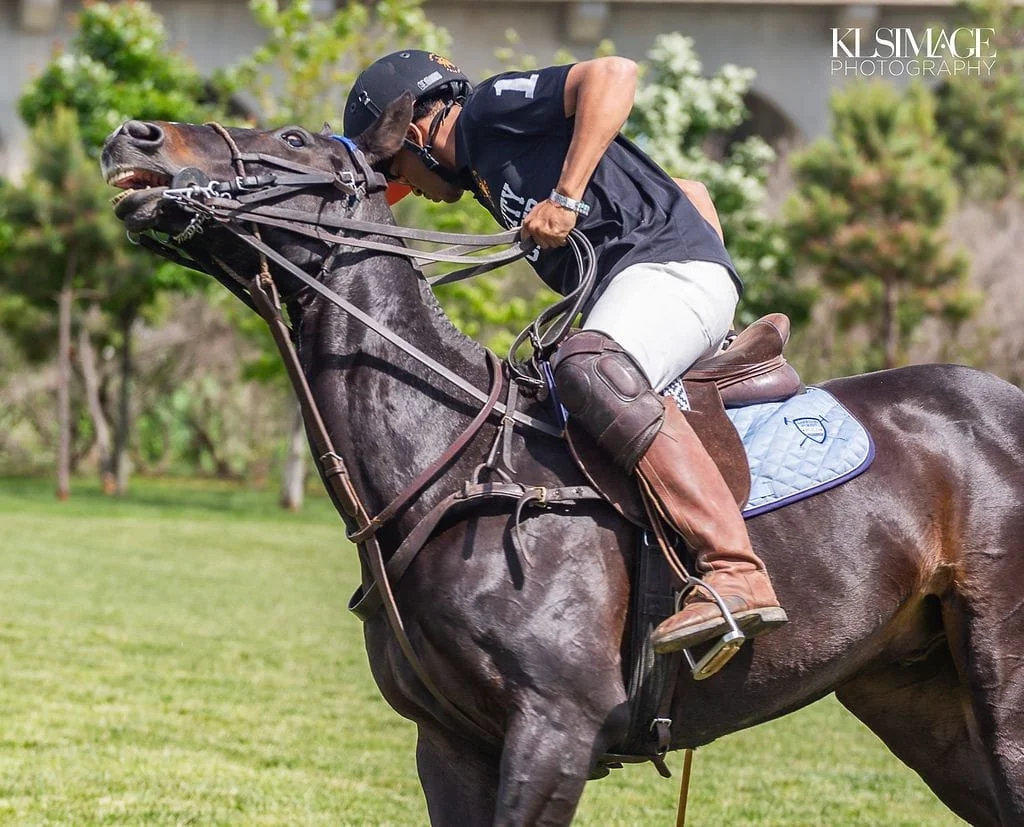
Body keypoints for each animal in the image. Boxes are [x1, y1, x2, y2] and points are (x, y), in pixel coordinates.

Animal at [100, 99, 1024, 826]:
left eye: (292, 137)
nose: (131, 133)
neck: (454, 461)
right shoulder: (450, 742)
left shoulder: (555, 730)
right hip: (914, 696)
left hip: (1002, 685)